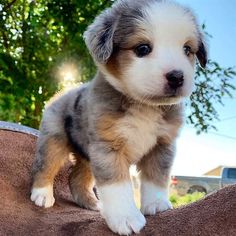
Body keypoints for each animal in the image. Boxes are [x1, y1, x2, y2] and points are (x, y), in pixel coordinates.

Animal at [30, 0, 206, 235]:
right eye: (142, 48)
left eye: (187, 49)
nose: (177, 77)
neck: (145, 106)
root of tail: (62, 92)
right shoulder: (109, 148)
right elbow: (117, 187)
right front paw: (126, 218)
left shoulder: (162, 146)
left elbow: (156, 177)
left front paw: (157, 204)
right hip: (54, 140)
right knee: (45, 165)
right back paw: (41, 194)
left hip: (87, 155)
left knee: (76, 178)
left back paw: (92, 203)